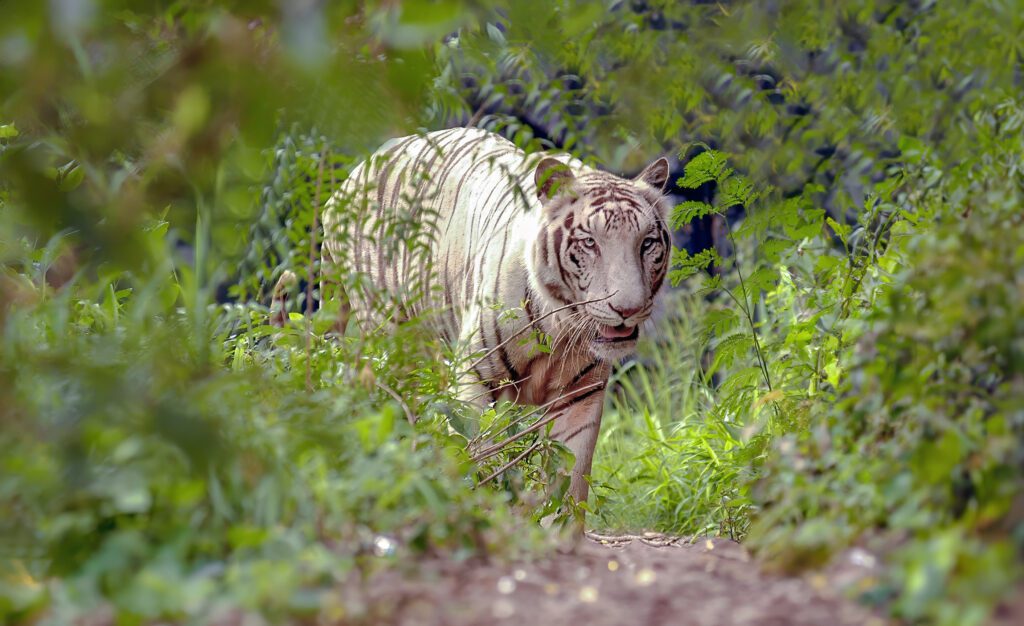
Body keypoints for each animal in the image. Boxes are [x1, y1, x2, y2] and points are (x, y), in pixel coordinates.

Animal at [321, 127, 671, 504]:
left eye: (647, 243)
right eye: (590, 242)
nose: (628, 310)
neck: (560, 329)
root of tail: (358, 171)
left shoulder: (581, 394)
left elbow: (570, 483)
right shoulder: (475, 381)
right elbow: (480, 460)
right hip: (392, 341)